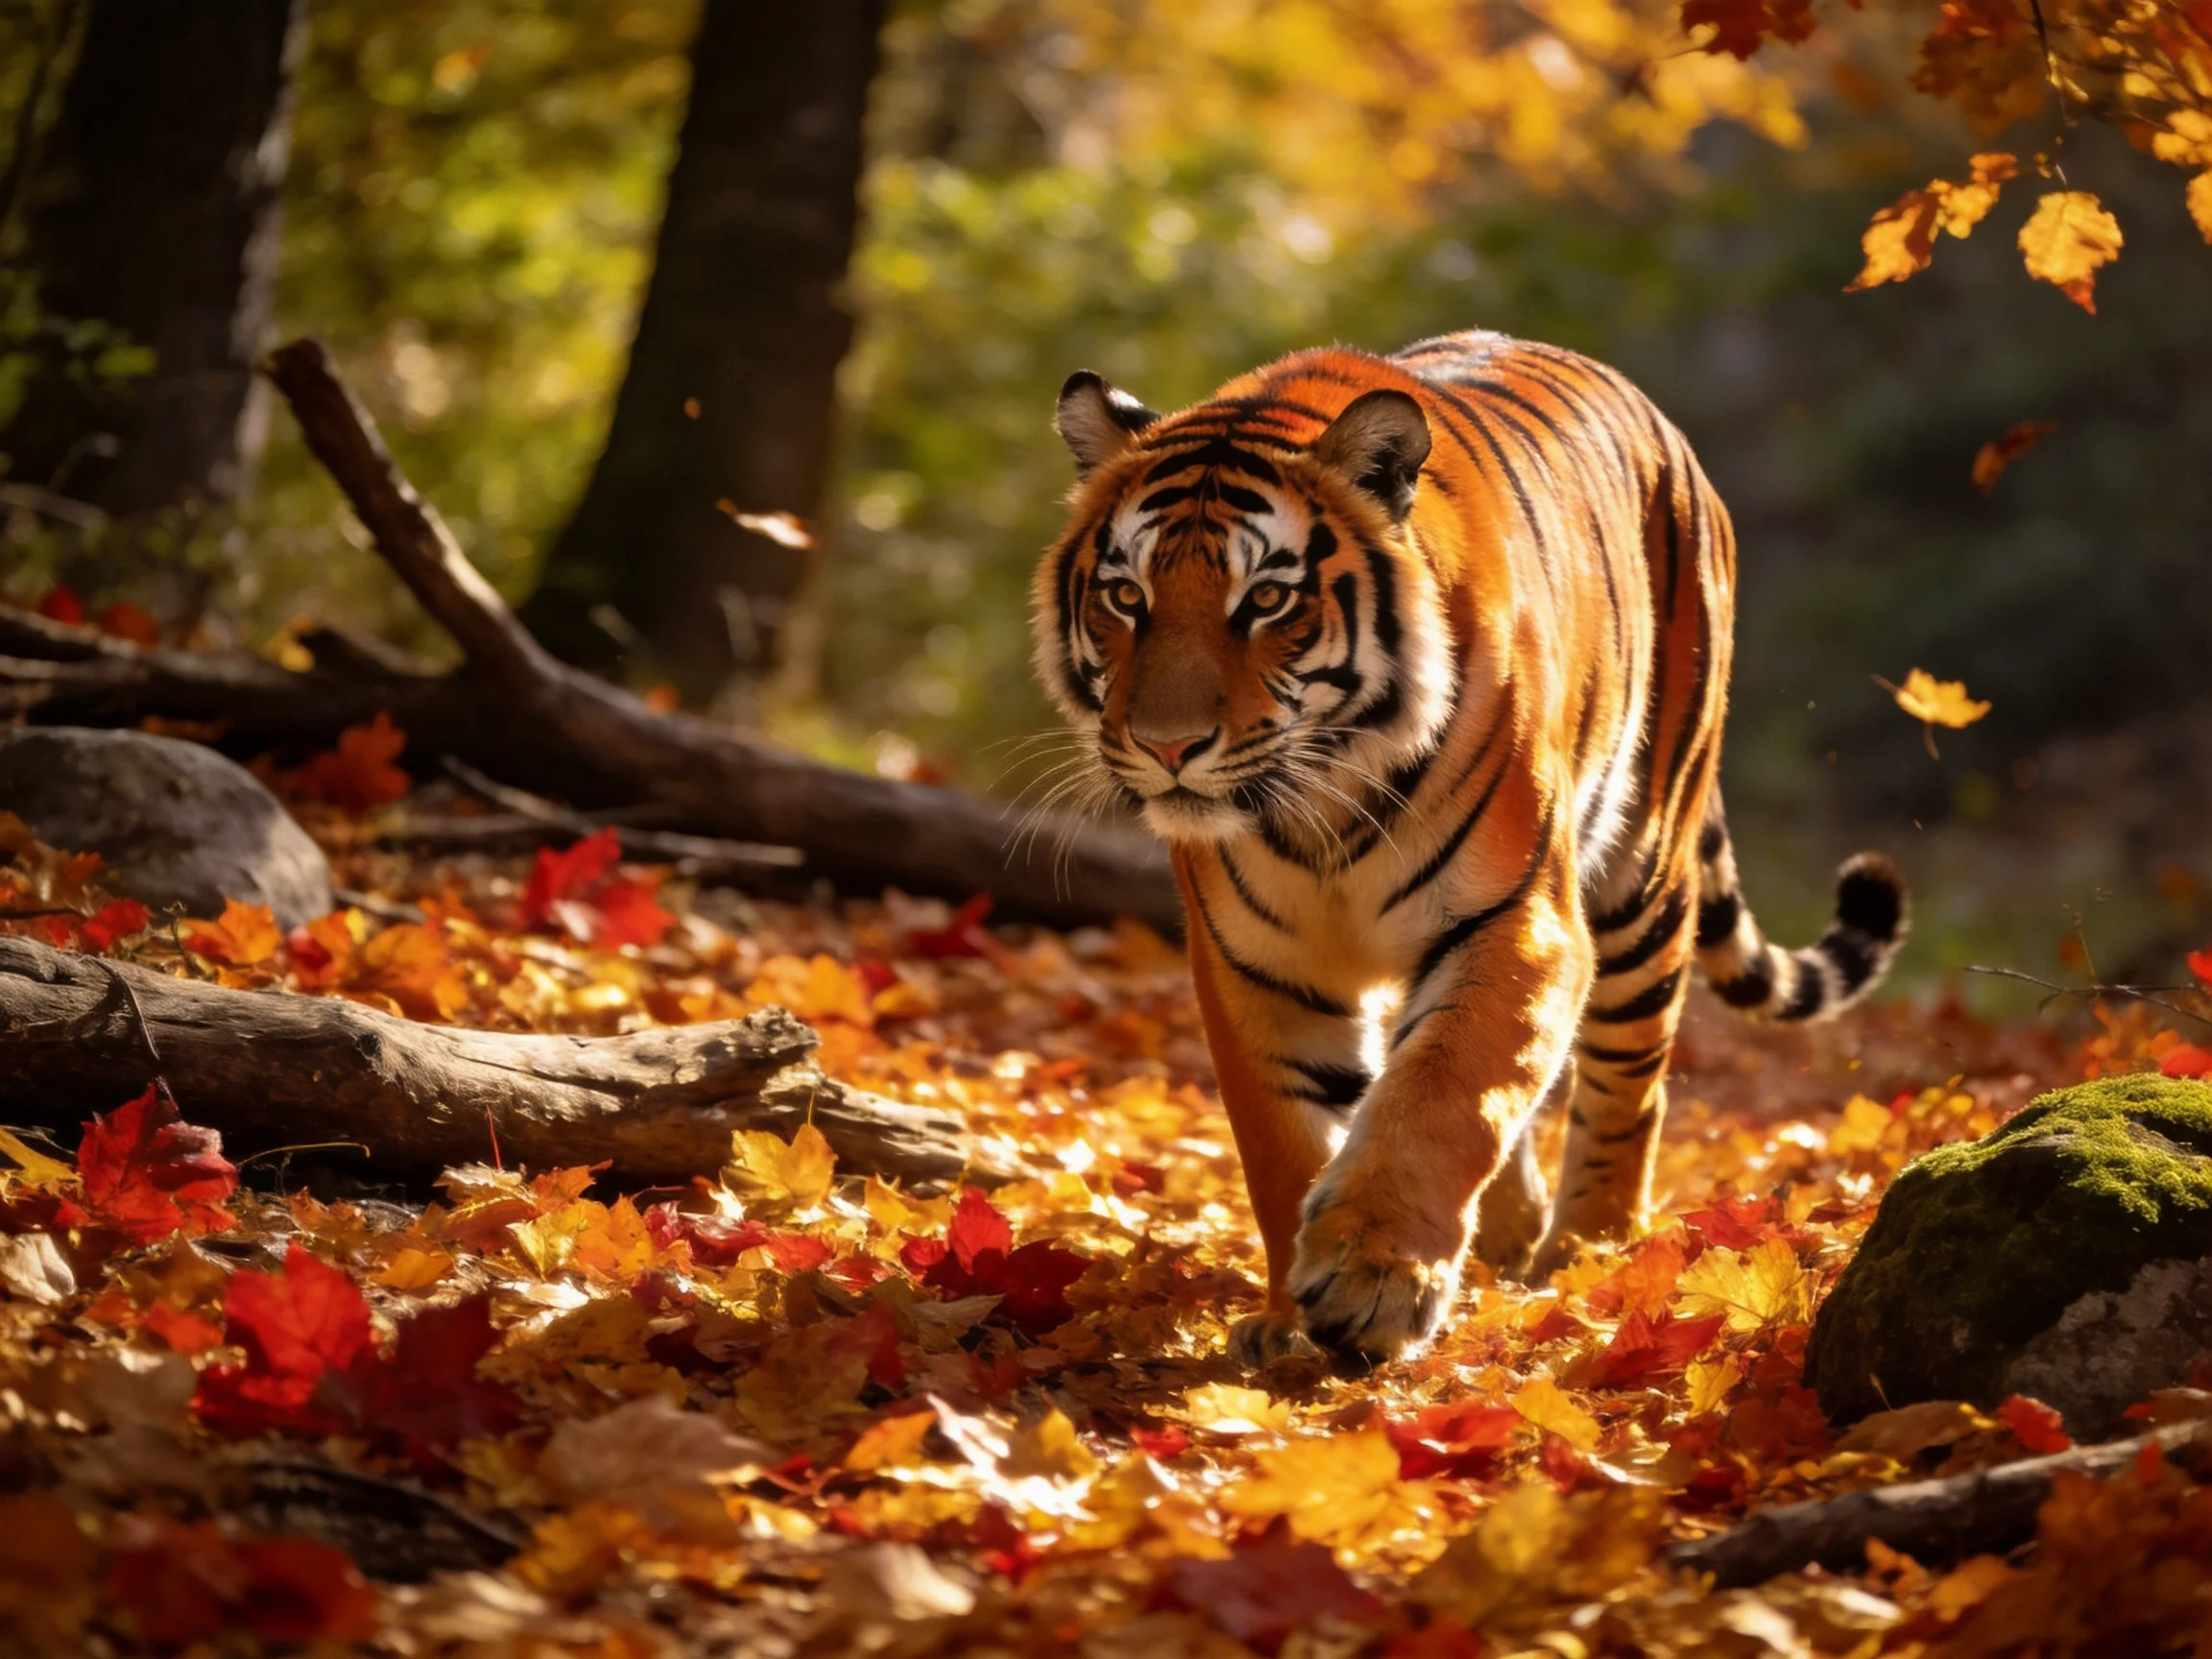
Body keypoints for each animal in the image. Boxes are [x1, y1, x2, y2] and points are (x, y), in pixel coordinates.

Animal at [1030, 329, 1908, 1367]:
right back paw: (1510, 1235)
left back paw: (1592, 1259)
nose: (1168, 748)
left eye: (1269, 599)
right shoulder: (1256, 966)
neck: (1319, 807)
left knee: (1627, 1087)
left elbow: (1446, 1089)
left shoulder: (1518, 918)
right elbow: (1288, 1141)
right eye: (1127, 596)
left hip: (1644, 871)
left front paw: (1372, 1280)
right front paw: (1292, 1320)